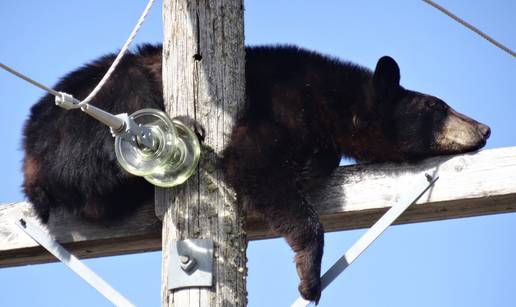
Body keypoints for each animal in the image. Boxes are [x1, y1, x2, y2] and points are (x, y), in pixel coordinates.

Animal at [20, 43, 490, 304]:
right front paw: (309, 276)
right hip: (84, 120)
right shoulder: (280, 102)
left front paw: (316, 164)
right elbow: (253, 165)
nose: (485, 128)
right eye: (436, 107)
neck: (329, 97)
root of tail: (27, 158)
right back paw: (182, 127)